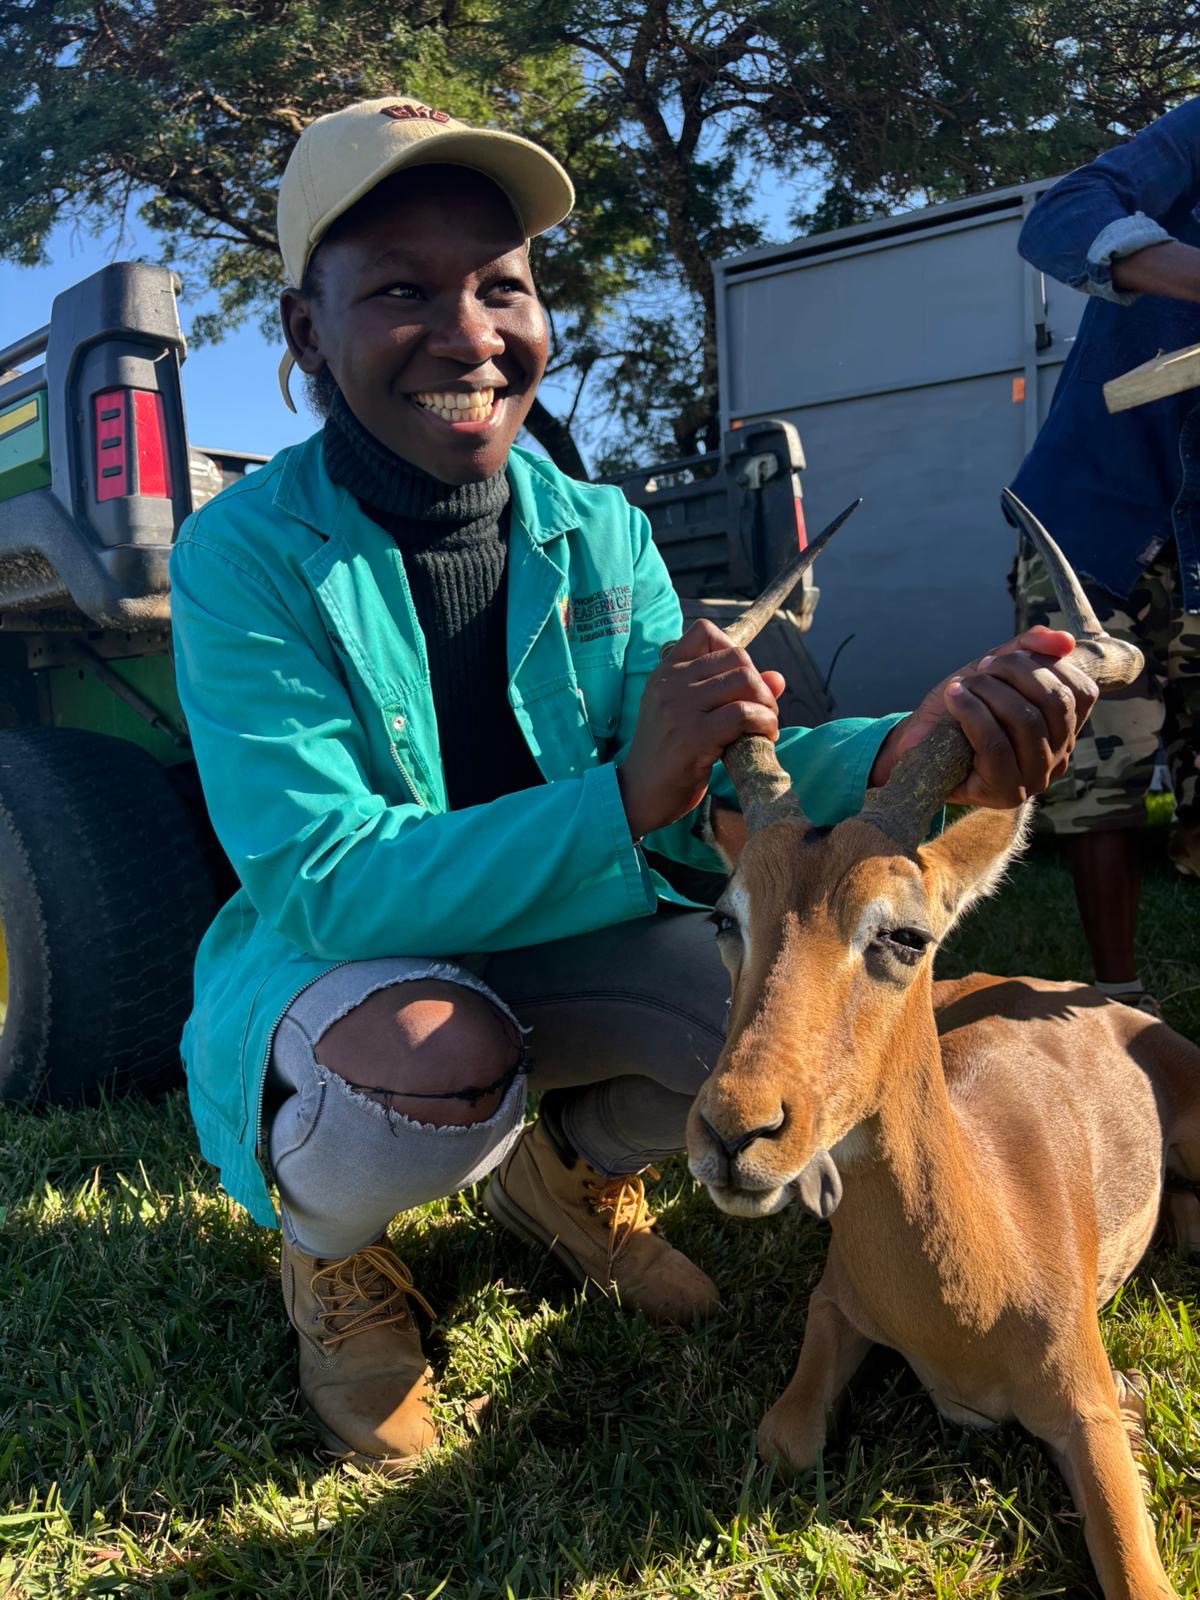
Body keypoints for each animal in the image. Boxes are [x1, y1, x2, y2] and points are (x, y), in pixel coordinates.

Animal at [685, 493, 1200, 1600]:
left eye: (904, 934)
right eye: (723, 917)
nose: (734, 1134)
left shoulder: (1086, 1407)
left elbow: (1141, 1573)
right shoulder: (833, 1306)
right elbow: (784, 1438)